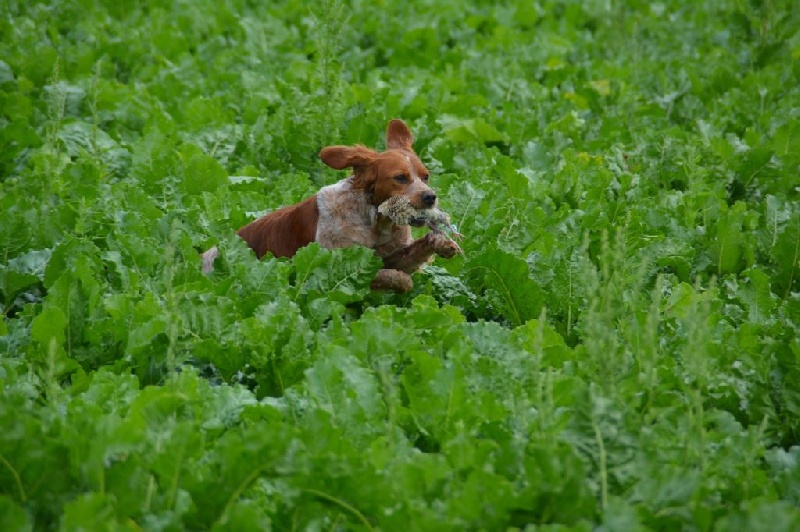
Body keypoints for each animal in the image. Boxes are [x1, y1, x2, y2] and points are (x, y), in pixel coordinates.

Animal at [203, 119, 460, 294]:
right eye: (400, 178)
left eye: (425, 176)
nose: (430, 197)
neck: (375, 222)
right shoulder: (330, 269)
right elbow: (394, 277)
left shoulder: (393, 254)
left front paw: (442, 242)